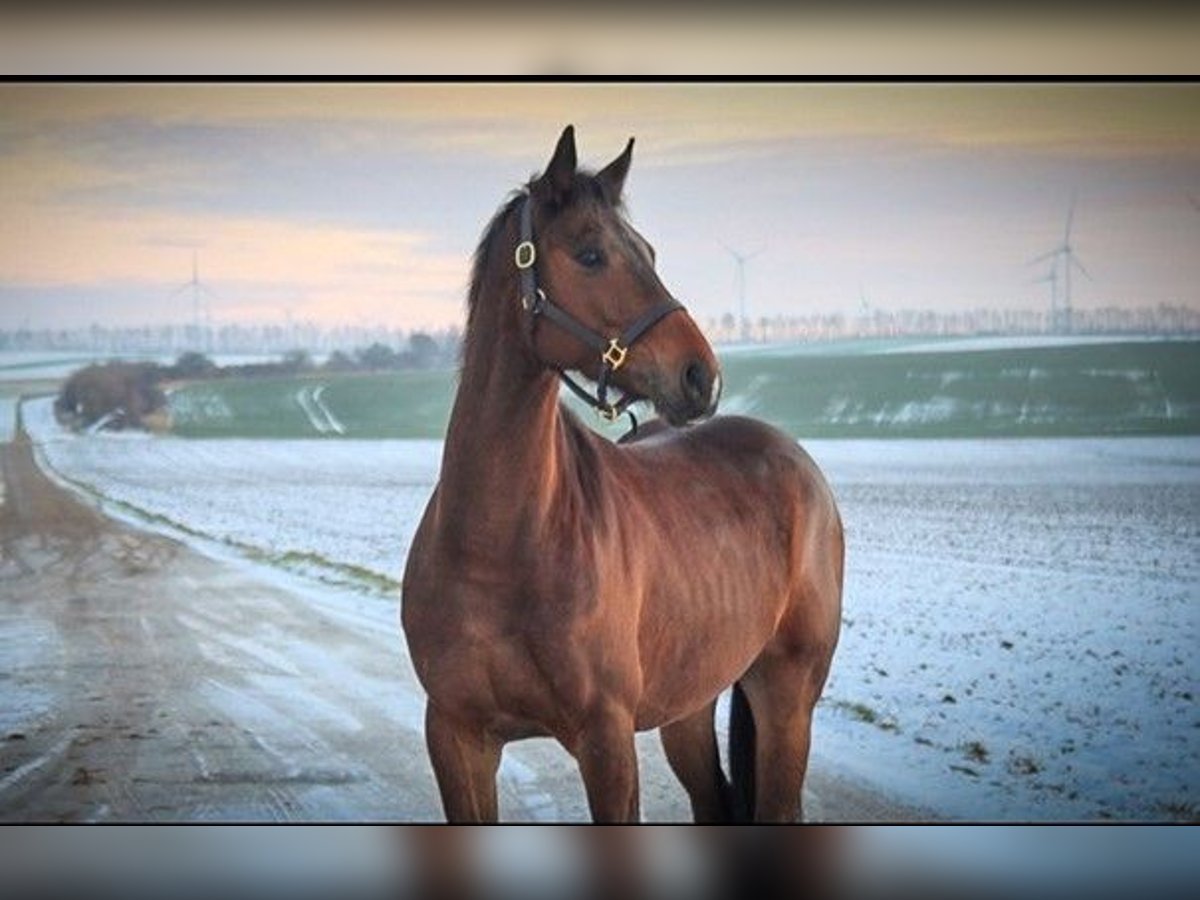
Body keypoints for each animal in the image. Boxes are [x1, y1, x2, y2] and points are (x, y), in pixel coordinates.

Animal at [403, 127, 844, 825]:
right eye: (590, 254)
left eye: (650, 251)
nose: (700, 375)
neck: (496, 546)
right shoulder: (455, 736)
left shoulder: (606, 742)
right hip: (689, 706)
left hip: (786, 698)